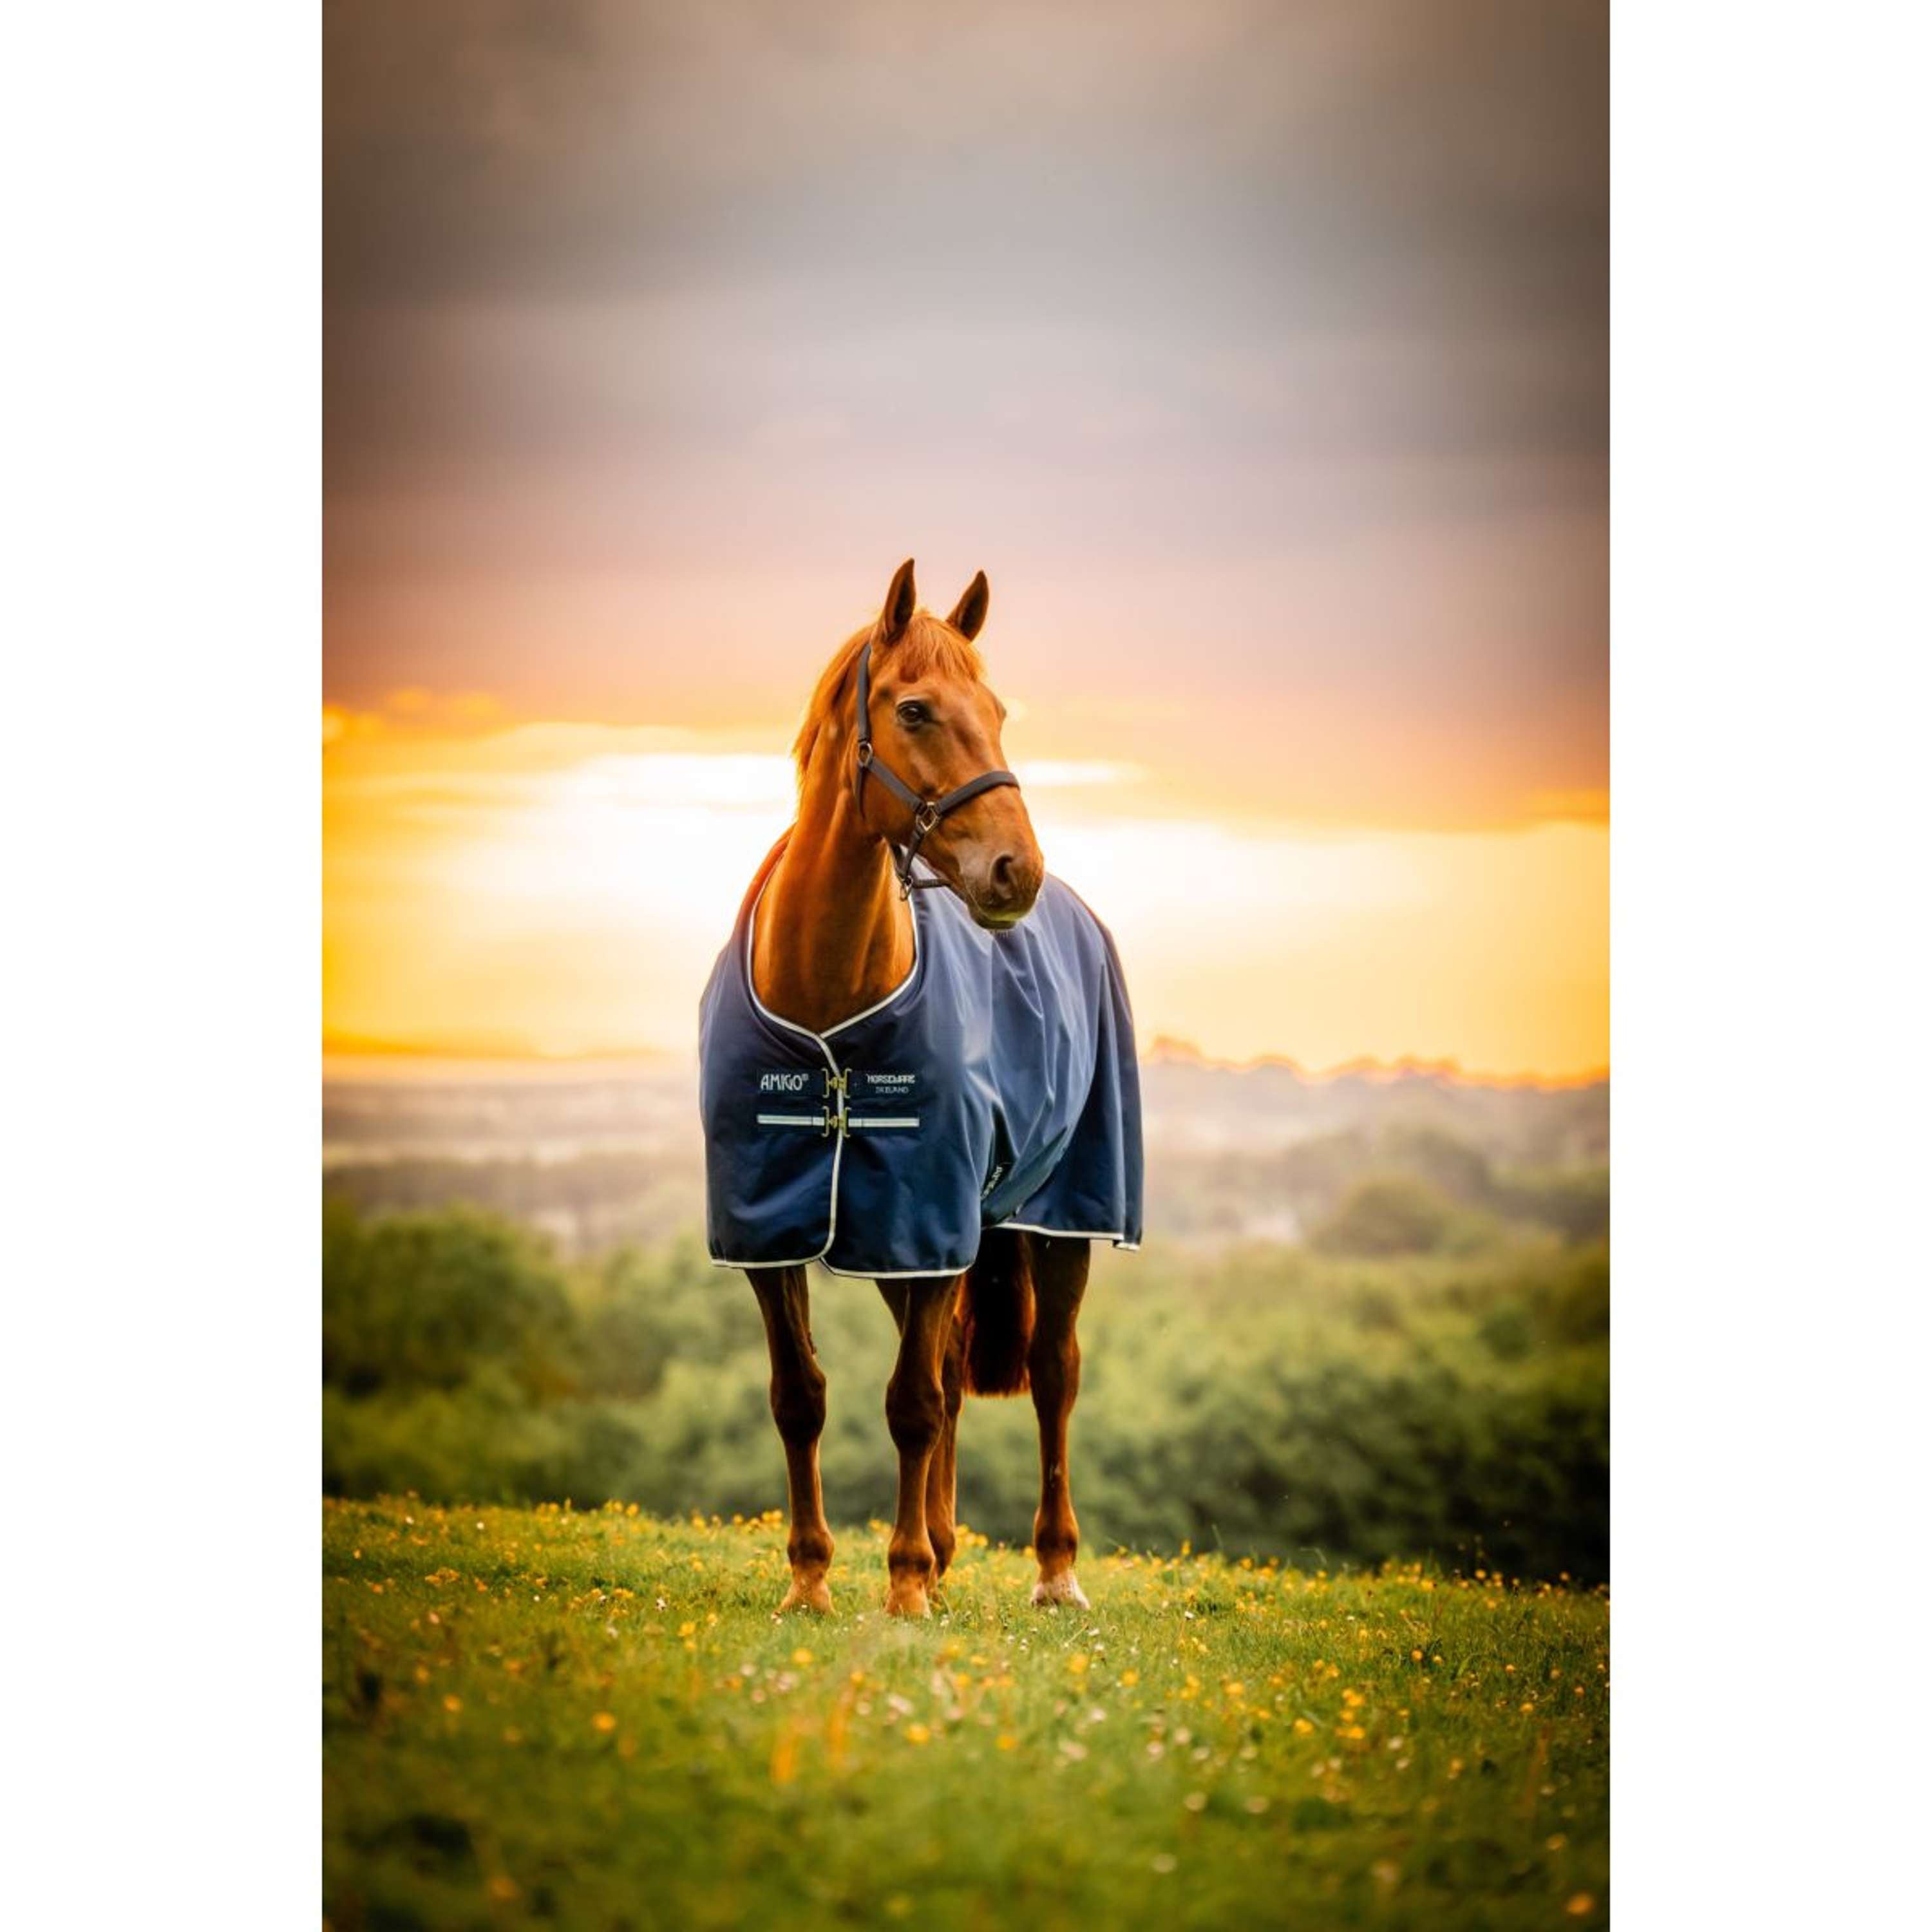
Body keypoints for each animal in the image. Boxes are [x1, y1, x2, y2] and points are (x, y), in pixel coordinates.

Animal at [697, 559, 1143, 1617]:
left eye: (999, 709)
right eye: (914, 709)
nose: (1015, 870)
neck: (828, 1003)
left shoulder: (929, 1218)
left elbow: (911, 1404)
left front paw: (900, 1589)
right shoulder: (780, 1229)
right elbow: (802, 1397)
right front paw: (813, 1581)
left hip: (1058, 1218)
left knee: (1053, 1373)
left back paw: (1052, 1569)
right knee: (942, 1368)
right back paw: (940, 1549)